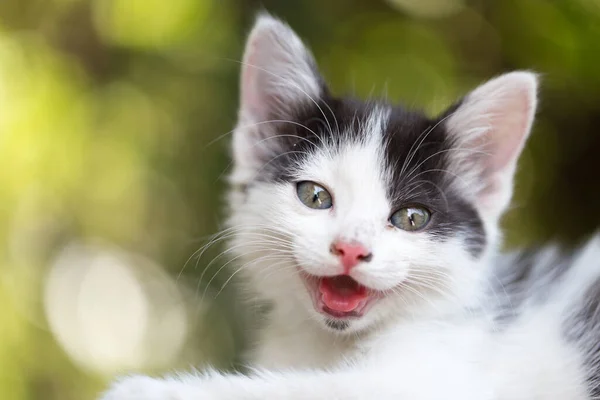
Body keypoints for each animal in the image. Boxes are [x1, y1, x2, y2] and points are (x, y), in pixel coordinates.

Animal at [99, 13, 600, 400]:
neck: (332, 345)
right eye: (315, 196)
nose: (351, 249)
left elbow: (312, 388)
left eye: (411, 218)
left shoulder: (444, 376)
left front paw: (141, 390)